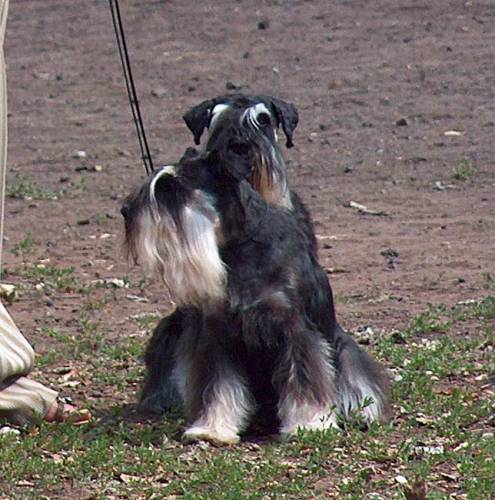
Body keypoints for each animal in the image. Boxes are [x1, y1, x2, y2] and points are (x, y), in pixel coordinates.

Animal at [123, 151, 344, 444]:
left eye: (171, 187)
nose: (125, 212)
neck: (238, 250)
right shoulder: (216, 335)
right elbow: (218, 385)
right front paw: (212, 428)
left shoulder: (295, 330)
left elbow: (304, 378)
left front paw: (309, 424)